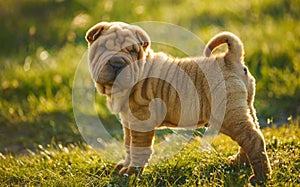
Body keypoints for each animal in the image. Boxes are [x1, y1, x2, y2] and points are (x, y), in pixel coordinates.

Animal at [85, 21, 272, 184]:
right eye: (103, 47)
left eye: (132, 51)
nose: (117, 63)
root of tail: (229, 58)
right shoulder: (128, 122)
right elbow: (128, 145)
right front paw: (125, 166)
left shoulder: (141, 121)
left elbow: (138, 148)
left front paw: (131, 173)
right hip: (246, 107)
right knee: (252, 133)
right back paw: (238, 163)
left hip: (228, 115)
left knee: (252, 138)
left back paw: (260, 178)